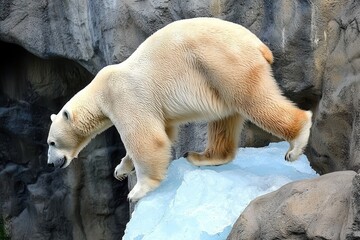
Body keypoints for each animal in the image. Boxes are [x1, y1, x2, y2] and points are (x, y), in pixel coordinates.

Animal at [47, 16, 312, 201]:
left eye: (51, 142)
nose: (51, 163)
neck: (100, 91)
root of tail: (259, 46)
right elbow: (163, 132)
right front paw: (121, 170)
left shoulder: (125, 95)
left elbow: (148, 139)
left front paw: (137, 190)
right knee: (225, 118)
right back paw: (201, 157)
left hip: (227, 64)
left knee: (253, 101)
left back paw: (295, 144)